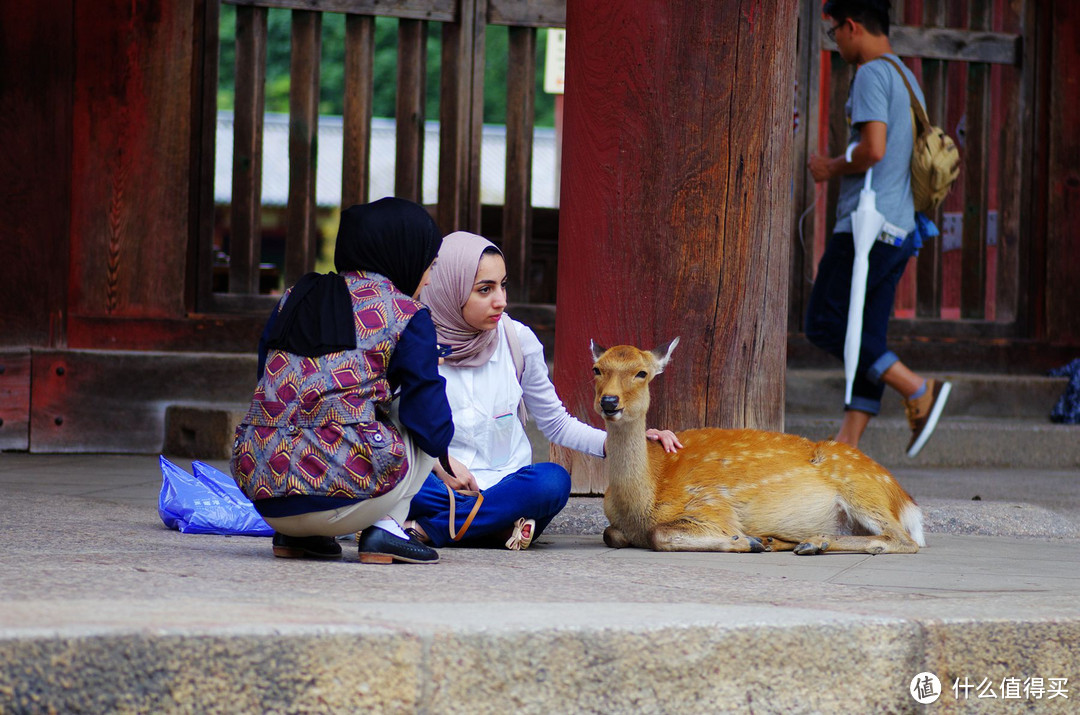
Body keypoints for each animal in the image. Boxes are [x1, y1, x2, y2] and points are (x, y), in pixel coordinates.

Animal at [596, 339, 924, 557]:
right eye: (597, 369)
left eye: (642, 372)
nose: (609, 401)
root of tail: (902, 496)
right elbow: (610, 533)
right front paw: (755, 541)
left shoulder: (711, 506)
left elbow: (659, 534)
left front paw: (743, 541)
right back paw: (784, 541)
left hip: (862, 488)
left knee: (905, 539)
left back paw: (811, 541)